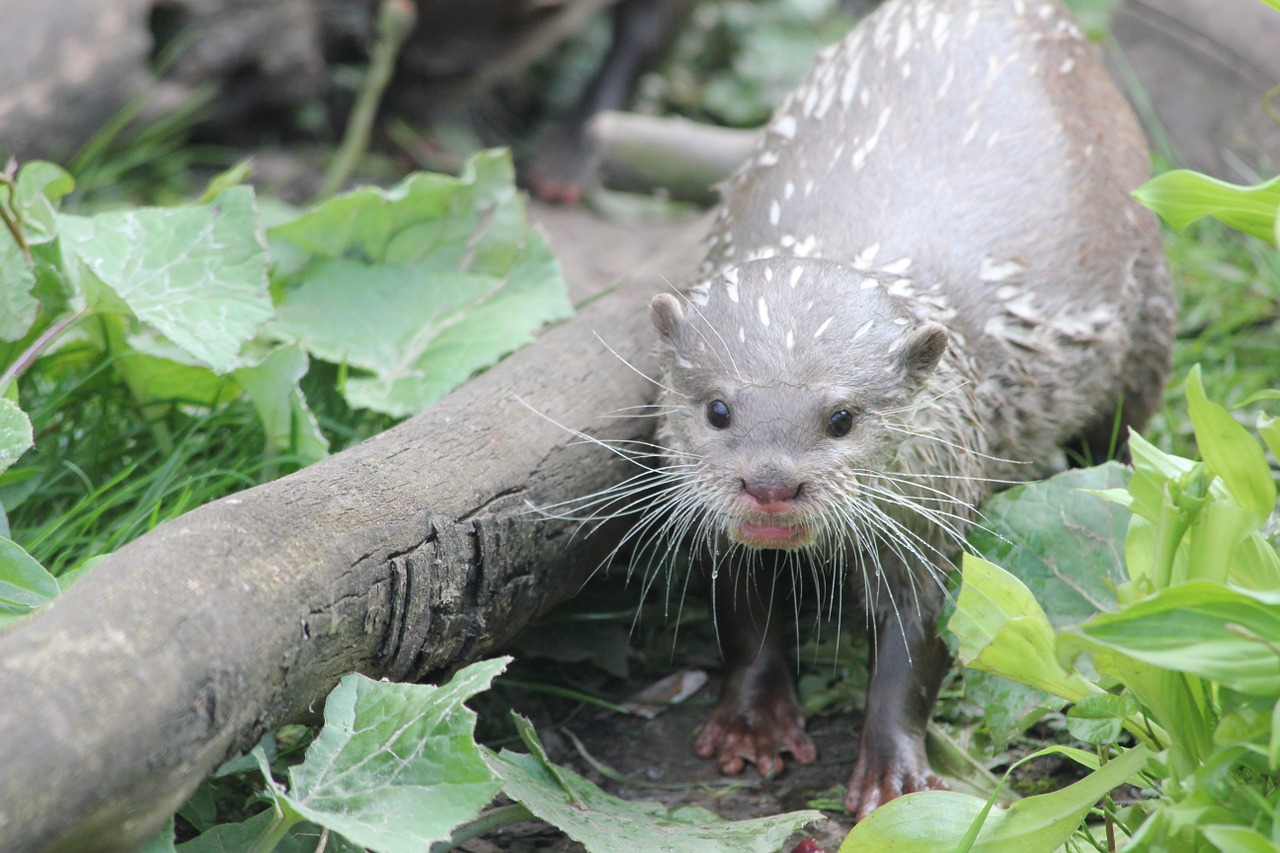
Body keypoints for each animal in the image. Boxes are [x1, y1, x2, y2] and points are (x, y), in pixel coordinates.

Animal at [645, 0, 1172, 819]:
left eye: (843, 418)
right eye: (719, 410)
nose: (770, 483)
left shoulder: (934, 505)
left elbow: (916, 648)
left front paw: (894, 776)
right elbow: (744, 615)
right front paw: (753, 724)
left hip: (1149, 304)